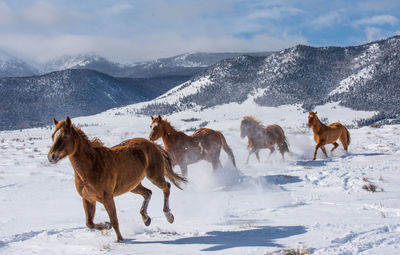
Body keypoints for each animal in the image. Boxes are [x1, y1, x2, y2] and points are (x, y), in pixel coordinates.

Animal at [46, 116, 186, 242]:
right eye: (53, 136)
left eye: (64, 136)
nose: (51, 156)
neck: (92, 165)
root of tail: (152, 144)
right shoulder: (88, 199)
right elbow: (89, 223)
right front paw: (106, 225)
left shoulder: (108, 198)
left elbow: (114, 220)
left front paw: (120, 240)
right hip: (133, 185)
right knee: (148, 193)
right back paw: (146, 219)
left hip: (154, 176)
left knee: (166, 187)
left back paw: (169, 216)